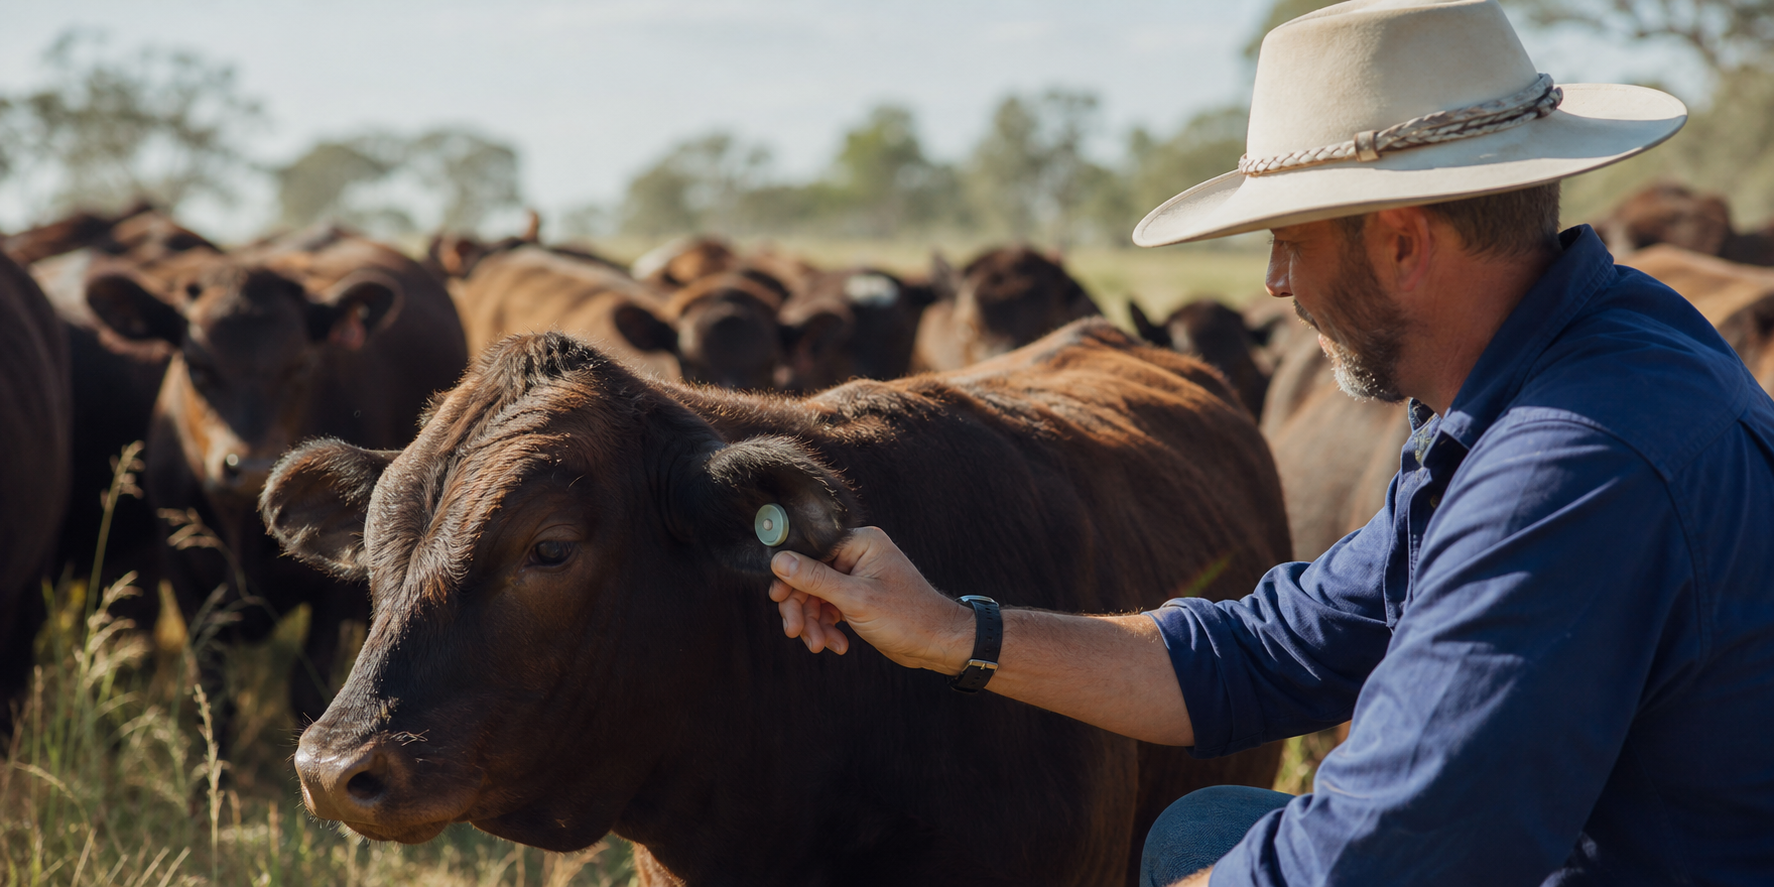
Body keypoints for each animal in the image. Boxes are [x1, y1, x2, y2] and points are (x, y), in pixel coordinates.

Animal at [83, 224, 468, 728]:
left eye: (301, 363)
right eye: (196, 365)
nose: (248, 468)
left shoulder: (337, 587)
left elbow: (309, 688)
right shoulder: (183, 571)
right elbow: (215, 695)